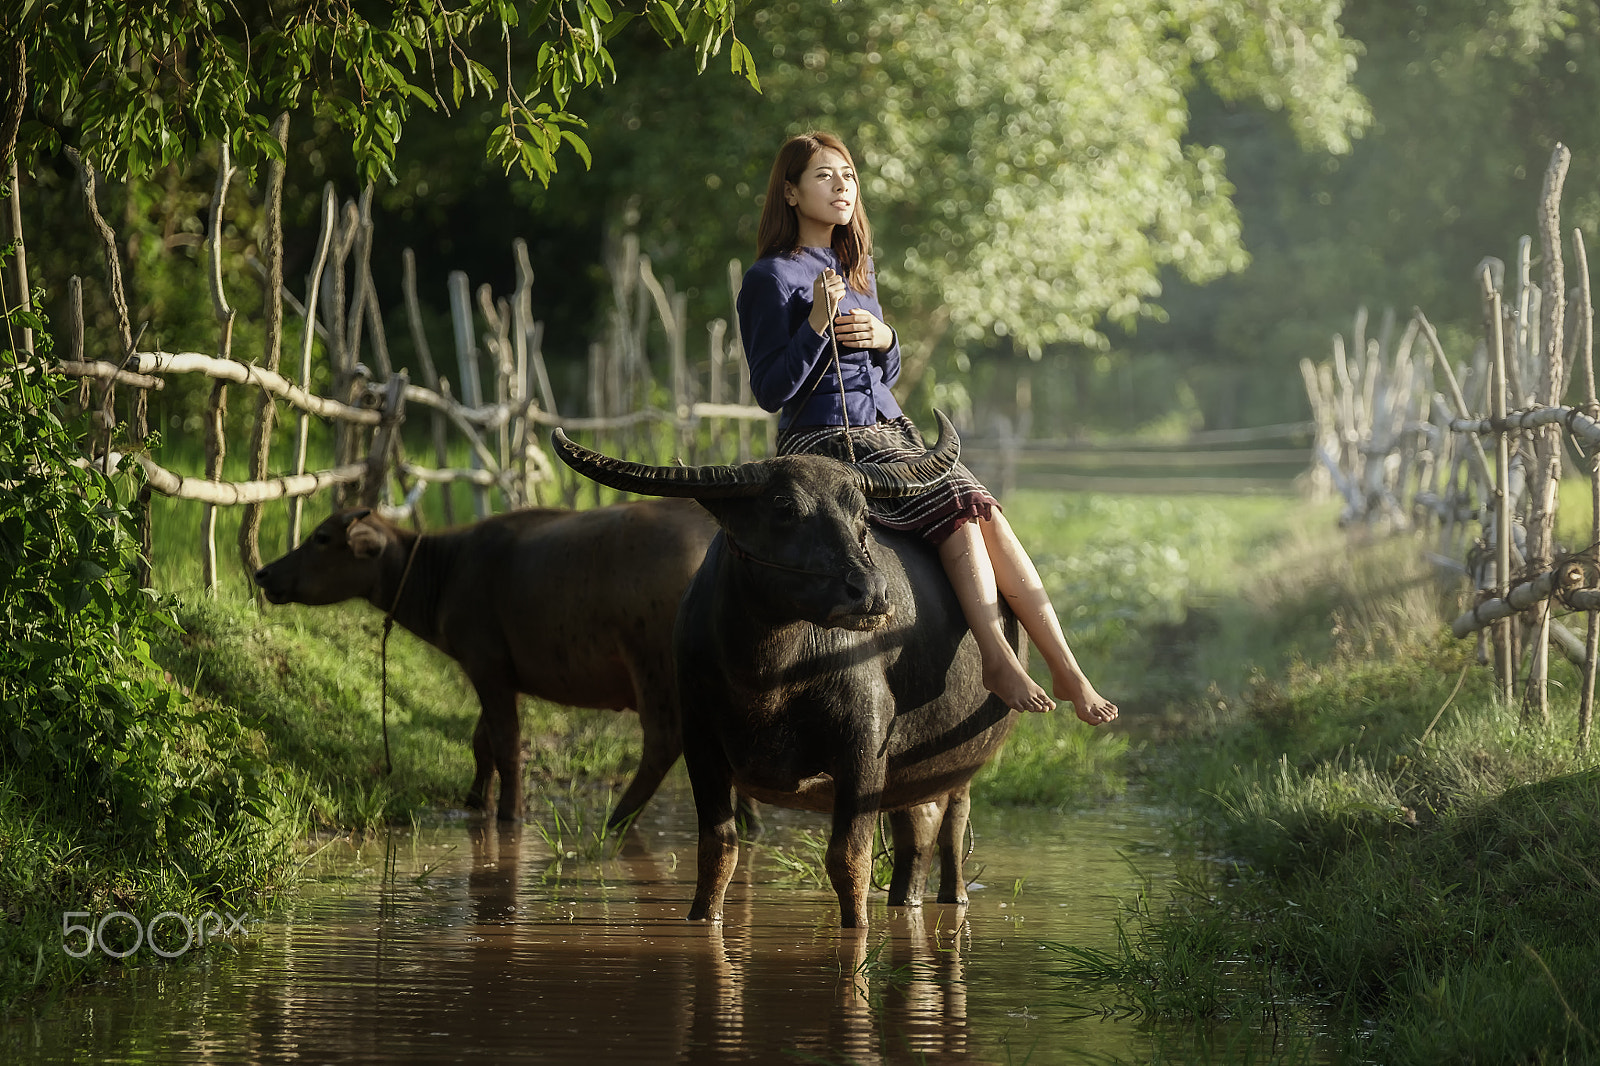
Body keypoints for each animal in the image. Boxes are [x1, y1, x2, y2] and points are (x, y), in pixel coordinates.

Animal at [252, 499, 716, 819]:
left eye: (321, 538)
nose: (263, 572)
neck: (447, 570)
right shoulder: (499, 674)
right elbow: (483, 741)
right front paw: (477, 799)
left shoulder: (486, 665)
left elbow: (507, 742)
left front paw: (510, 811)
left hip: (652, 667)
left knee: (664, 742)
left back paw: (618, 819)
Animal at [556, 409, 1017, 928]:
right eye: (784, 507)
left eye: (861, 513)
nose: (871, 593)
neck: (768, 678)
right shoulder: (700, 742)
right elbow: (718, 851)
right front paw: (702, 919)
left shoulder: (864, 749)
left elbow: (848, 859)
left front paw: (857, 932)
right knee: (914, 838)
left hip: (961, 770)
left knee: (950, 832)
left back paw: (952, 895)